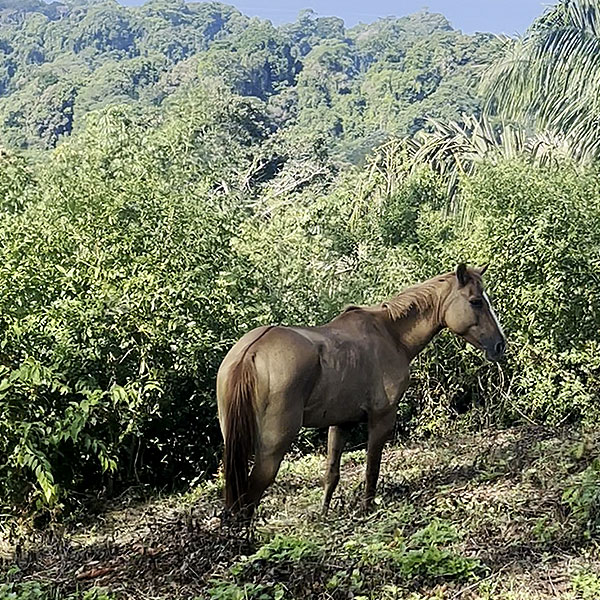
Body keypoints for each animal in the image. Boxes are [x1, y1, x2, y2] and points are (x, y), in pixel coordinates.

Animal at [217, 264, 506, 516]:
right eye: (476, 301)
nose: (500, 345)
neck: (391, 334)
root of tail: (251, 351)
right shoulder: (381, 417)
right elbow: (371, 468)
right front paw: (366, 509)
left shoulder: (340, 423)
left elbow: (331, 474)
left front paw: (324, 515)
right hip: (273, 446)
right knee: (249, 498)